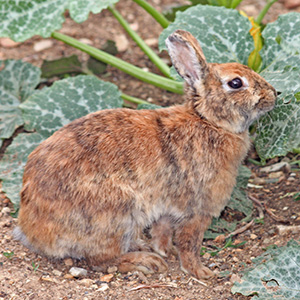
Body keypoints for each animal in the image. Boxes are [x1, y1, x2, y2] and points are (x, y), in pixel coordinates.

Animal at [14, 29, 276, 278]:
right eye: (236, 83)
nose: (274, 94)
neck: (209, 121)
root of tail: (33, 232)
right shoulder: (198, 210)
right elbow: (189, 243)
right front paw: (201, 272)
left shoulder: (166, 210)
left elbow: (163, 231)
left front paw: (165, 250)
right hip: (118, 213)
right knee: (101, 261)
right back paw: (144, 262)